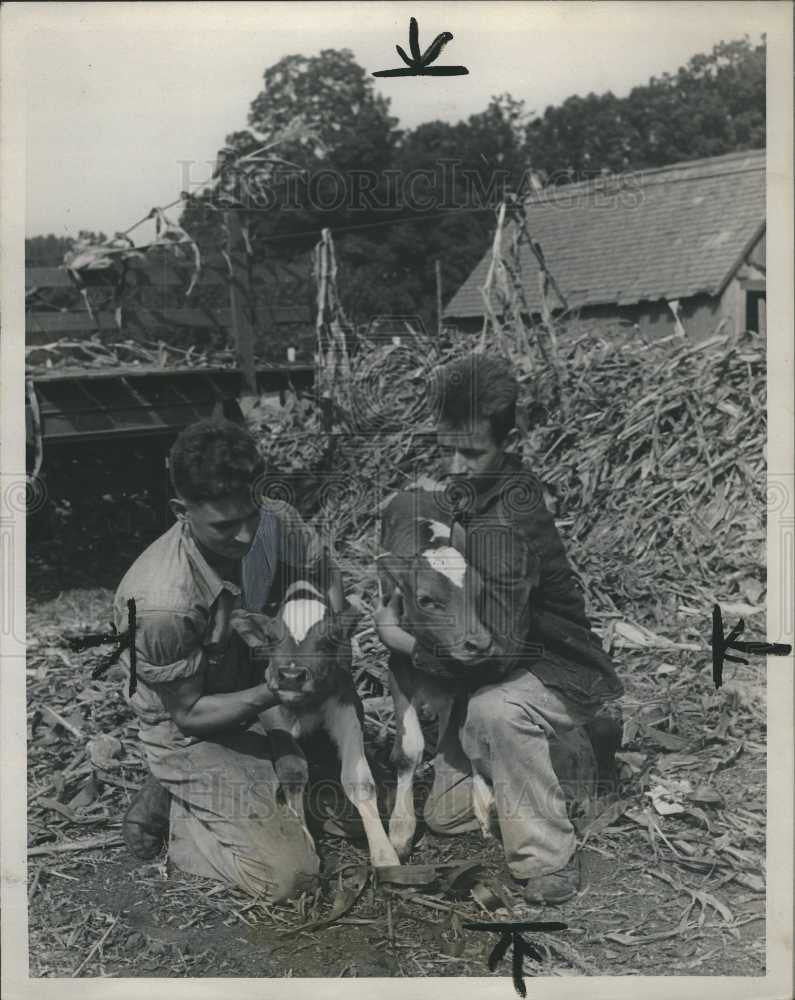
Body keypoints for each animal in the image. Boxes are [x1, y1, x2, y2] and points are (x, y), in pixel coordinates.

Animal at [233, 584, 402, 872]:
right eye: (271, 638)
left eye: (330, 640)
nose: (291, 677)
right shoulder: (270, 707)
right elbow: (293, 770)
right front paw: (303, 838)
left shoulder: (346, 700)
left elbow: (358, 779)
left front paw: (383, 851)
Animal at [376, 492, 494, 860]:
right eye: (426, 600)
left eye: (481, 590)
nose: (479, 643)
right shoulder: (397, 670)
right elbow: (409, 748)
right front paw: (400, 830)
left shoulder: (467, 680)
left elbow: (464, 735)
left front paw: (484, 803)